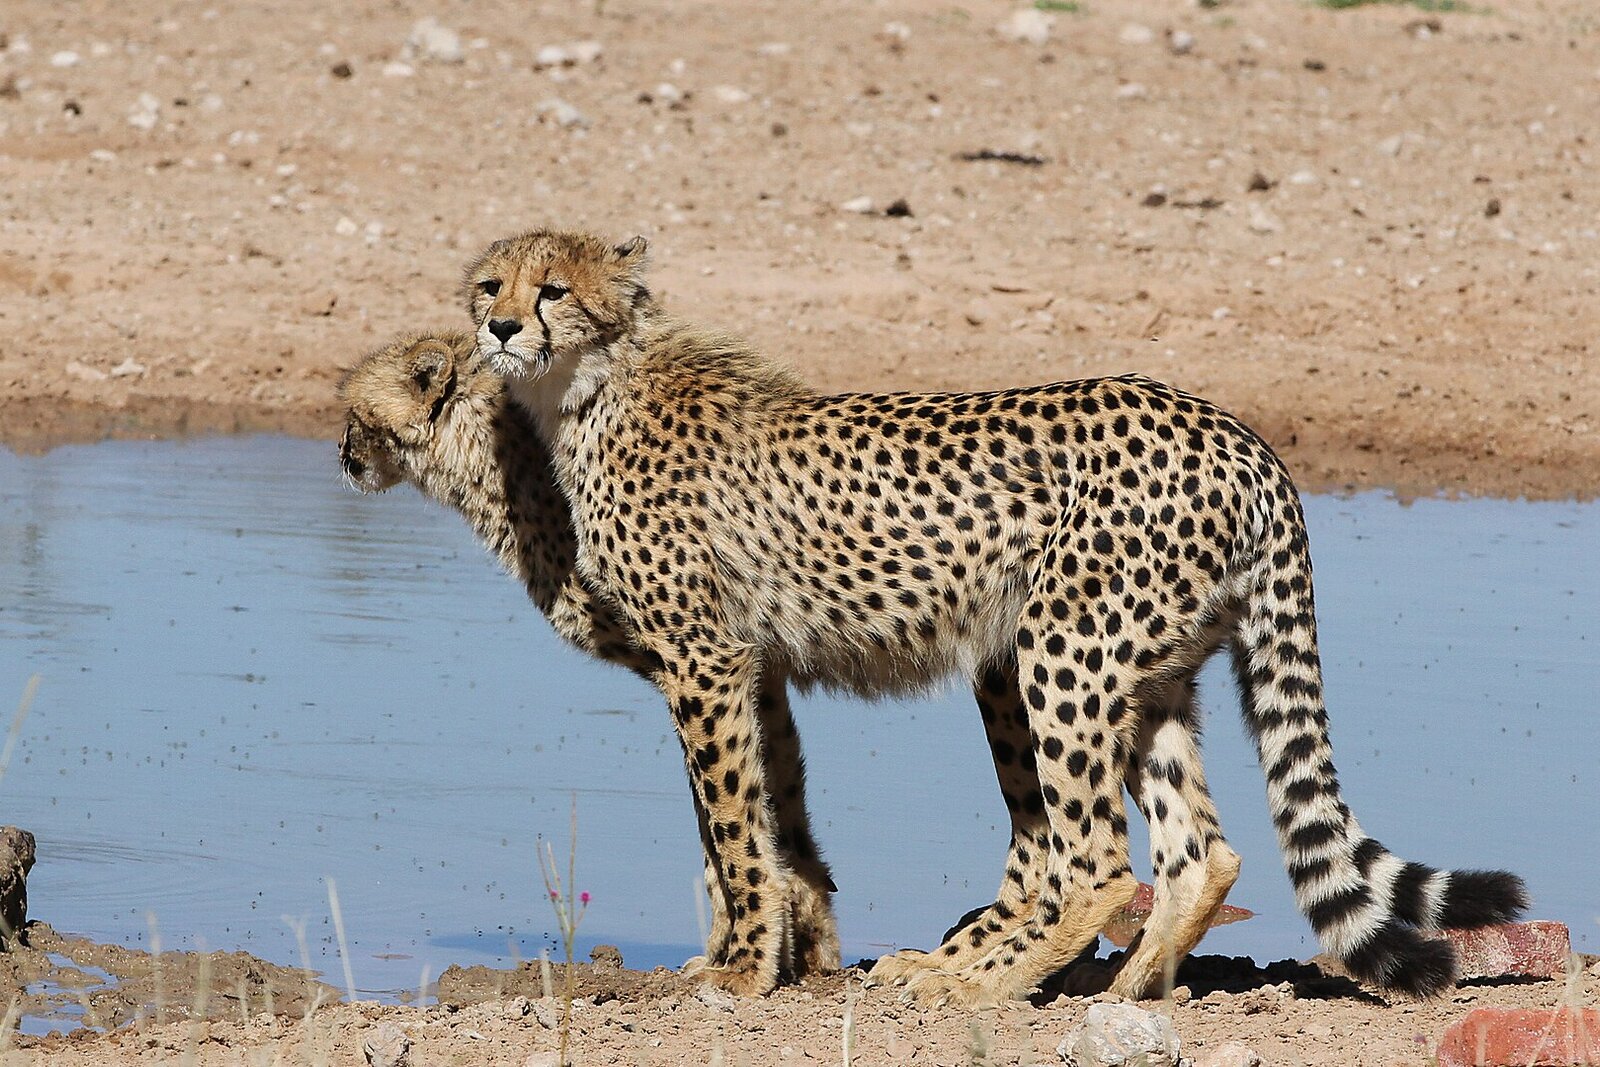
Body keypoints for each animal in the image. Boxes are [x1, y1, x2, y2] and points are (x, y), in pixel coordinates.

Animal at [452, 227, 1529, 1006]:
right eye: (490, 284)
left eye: (553, 290)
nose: (499, 328)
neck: (589, 389)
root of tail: (1236, 431)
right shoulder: (745, 663)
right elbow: (757, 815)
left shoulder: (706, 659)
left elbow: (730, 821)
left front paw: (739, 967)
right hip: (1149, 670)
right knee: (1199, 847)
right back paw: (1129, 988)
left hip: (1061, 649)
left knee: (1096, 861)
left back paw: (989, 987)